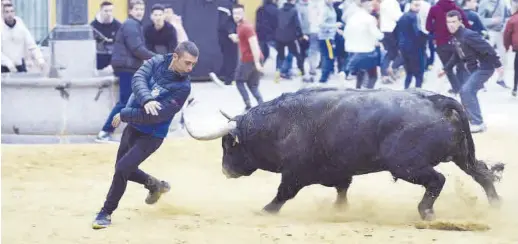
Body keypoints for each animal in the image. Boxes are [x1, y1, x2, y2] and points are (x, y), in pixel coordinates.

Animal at [183, 86, 504, 220]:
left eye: (228, 144)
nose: (225, 170)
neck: (280, 124)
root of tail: (438, 101)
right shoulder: (339, 171)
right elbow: (342, 189)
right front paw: (340, 210)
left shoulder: (295, 172)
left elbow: (284, 193)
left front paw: (265, 210)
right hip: (461, 156)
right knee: (482, 174)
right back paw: (496, 204)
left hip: (406, 166)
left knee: (438, 180)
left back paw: (426, 211)